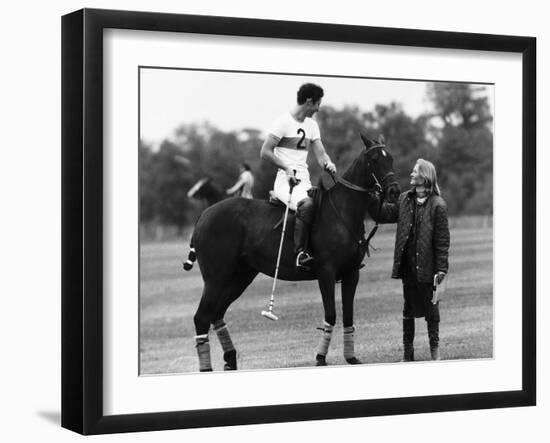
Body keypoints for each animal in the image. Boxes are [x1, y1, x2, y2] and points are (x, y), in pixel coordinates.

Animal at [185, 135, 402, 372]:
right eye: (374, 160)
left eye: (390, 158)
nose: (394, 191)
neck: (343, 212)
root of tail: (204, 214)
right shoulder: (326, 272)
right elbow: (331, 314)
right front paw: (320, 358)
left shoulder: (352, 273)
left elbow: (348, 316)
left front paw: (351, 358)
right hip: (216, 278)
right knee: (201, 317)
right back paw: (208, 367)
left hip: (240, 276)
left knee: (216, 313)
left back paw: (230, 360)